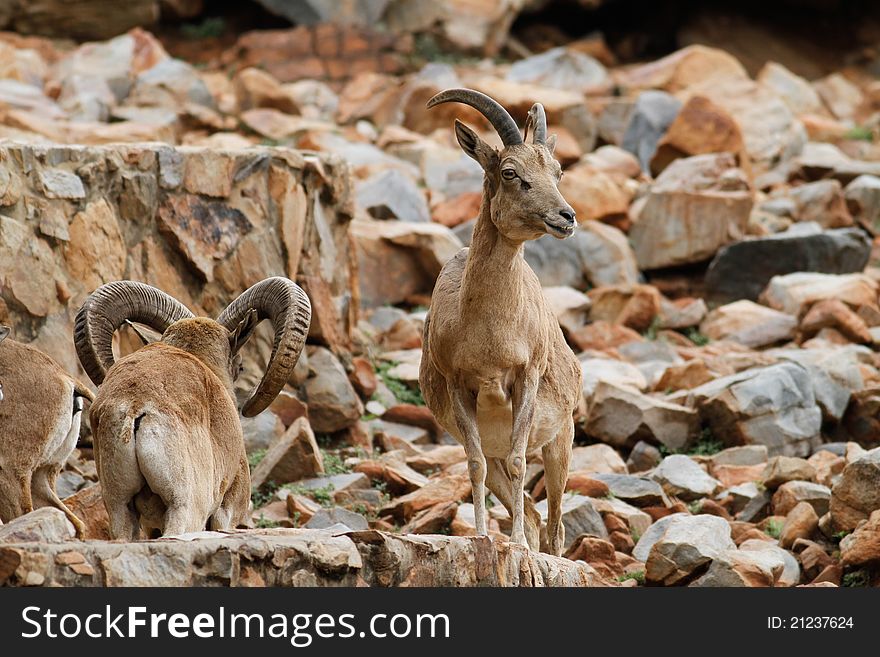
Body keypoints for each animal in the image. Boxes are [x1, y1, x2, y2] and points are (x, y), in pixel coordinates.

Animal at [422, 89, 584, 556]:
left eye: (558, 171)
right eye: (510, 172)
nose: (565, 217)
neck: (488, 333)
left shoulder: (525, 377)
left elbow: (518, 460)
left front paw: (518, 550)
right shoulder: (459, 385)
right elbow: (473, 465)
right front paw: (480, 536)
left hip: (561, 439)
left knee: (555, 525)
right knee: (528, 511)